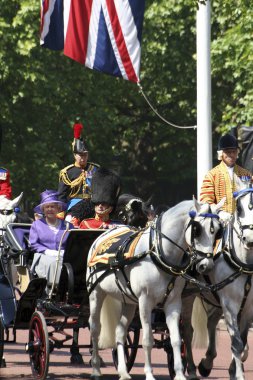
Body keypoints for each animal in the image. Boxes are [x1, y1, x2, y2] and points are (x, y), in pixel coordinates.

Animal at [86, 197, 222, 378]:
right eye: (196, 229)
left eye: (217, 231)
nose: (206, 266)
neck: (159, 253)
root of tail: (103, 235)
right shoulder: (145, 302)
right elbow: (147, 340)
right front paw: (149, 374)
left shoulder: (173, 303)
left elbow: (176, 339)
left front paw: (179, 374)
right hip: (96, 294)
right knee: (95, 328)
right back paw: (95, 368)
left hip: (128, 301)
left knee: (120, 332)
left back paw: (123, 372)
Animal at [186, 182, 253, 380]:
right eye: (239, 208)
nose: (250, 239)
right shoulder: (229, 303)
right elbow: (237, 342)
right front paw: (238, 373)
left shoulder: (248, 306)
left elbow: (242, 339)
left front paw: (234, 369)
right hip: (187, 296)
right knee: (187, 330)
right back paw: (191, 368)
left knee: (211, 321)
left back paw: (206, 363)